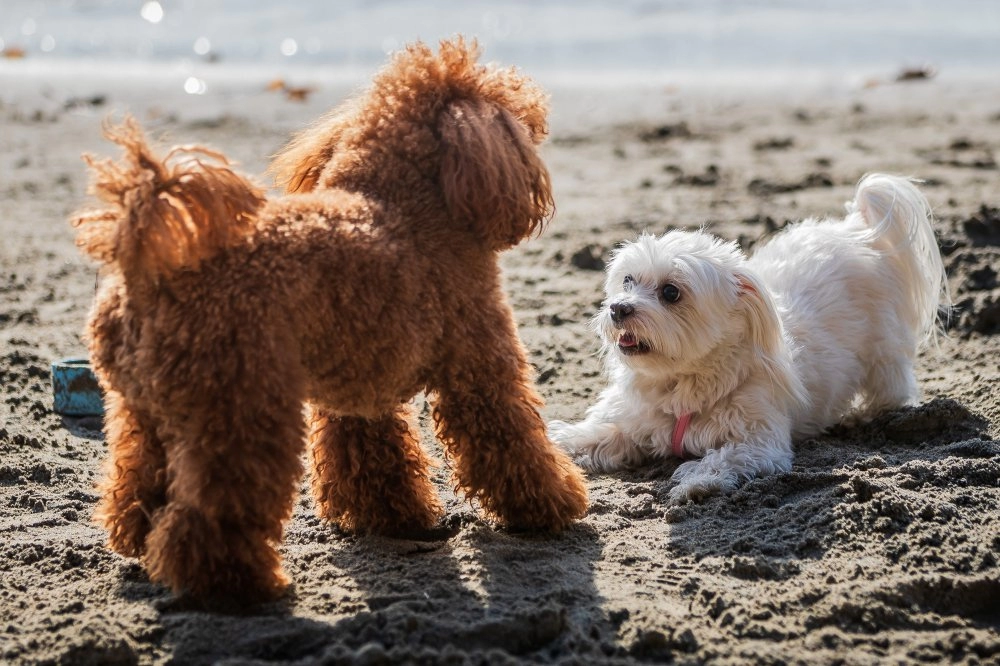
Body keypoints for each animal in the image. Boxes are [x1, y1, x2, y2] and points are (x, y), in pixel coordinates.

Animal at [74, 39, 588, 604]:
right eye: (520, 110)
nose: (538, 124)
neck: (401, 206)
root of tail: (150, 275)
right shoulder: (480, 369)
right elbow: (514, 440)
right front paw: (551, 507)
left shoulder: (361, 391)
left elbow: (374, 457)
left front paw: (392, 518)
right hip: (240, 411)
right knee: (210, 513)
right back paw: (241, 585)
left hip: (142, 411)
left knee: (136, 485)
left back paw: (138, 540)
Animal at [552, 174, 948, 500]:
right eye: (627, 281)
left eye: (670, 292)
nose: (618, 309)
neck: (680, 385)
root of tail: (854, 228)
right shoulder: (633, 421)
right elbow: (597, 433)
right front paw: (560, 442)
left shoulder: (759, 441)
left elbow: (725, 457)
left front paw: (696, 481)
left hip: (884, 349)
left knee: (891, 384)